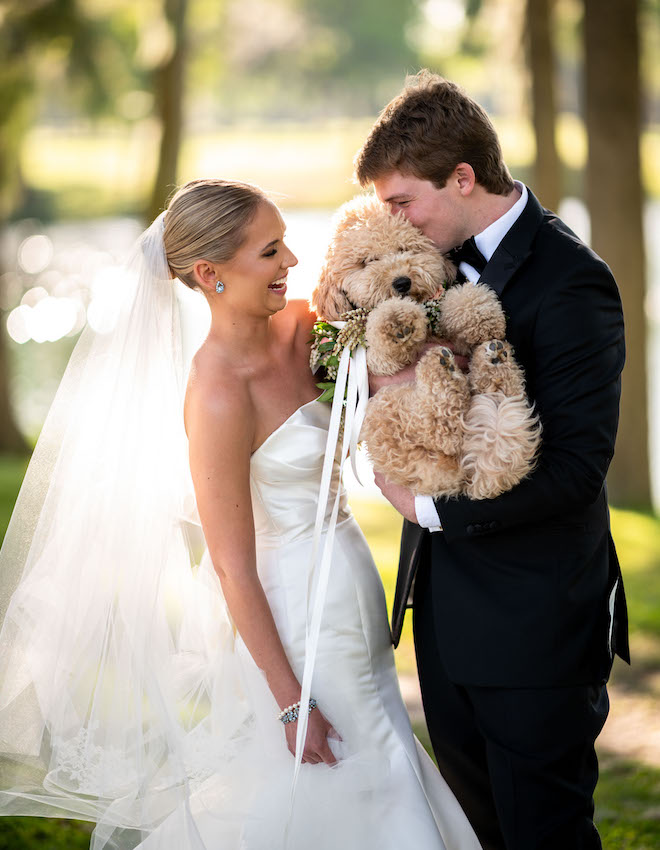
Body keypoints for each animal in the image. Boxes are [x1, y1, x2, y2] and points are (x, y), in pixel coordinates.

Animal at [314, 194, 540, 496]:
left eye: (404, 248)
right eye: (367, 261)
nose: (402, 282)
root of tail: (464, 476)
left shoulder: (452, 335)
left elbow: (462, 302)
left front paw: (482, 315)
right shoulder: (375, 362)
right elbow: (383, 335)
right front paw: (396, 319)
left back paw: (493, 363)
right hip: (383, 411)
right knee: (440, 425)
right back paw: (446, 370)